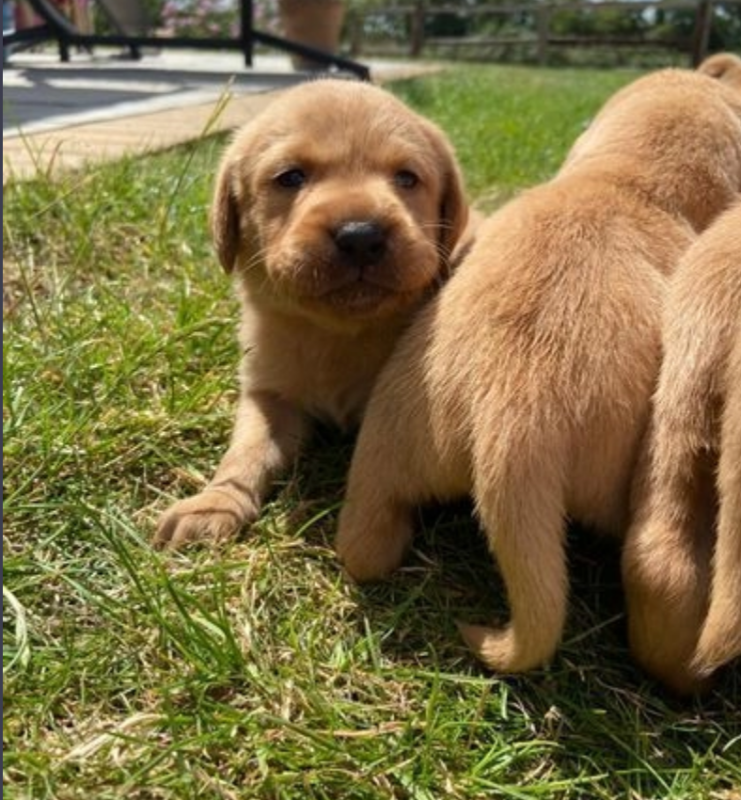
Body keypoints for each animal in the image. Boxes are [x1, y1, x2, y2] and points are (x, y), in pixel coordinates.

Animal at [155, 76, 468, 552]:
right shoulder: (268, 395)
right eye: (290, 177)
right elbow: (245, 451)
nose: (361, 235)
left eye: (407, 178)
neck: (338, 334)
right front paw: (214, 504)